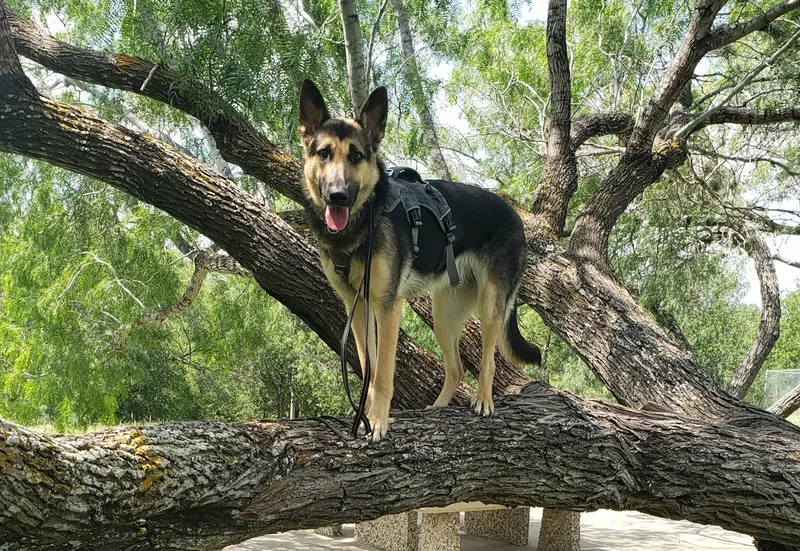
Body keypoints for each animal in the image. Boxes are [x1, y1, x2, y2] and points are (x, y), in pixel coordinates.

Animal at [296, 77, 540, 442]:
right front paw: (366, 414)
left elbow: (383, 374)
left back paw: (483, 401)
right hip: (444, 315)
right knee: (455, 369)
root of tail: (513, 212)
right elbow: (368, 368)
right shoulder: (357, 307)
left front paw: (378, 421)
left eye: (356, 156)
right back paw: (437, 409)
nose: (338, 196)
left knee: (489, 362)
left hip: (491, 305)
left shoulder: (387, 307)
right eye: (324, 153)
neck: (363, 222)